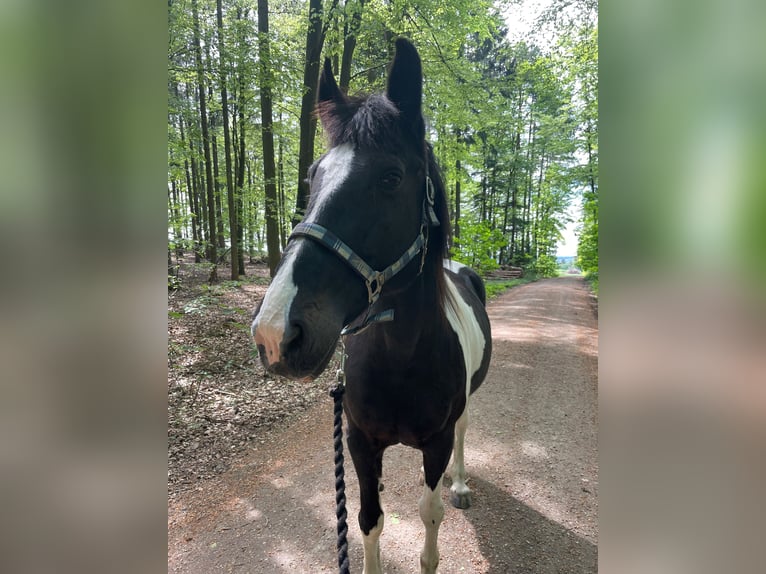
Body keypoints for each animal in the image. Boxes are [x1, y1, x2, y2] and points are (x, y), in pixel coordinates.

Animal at [252, 37, 492, 574]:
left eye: (390, 177)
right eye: (313, 176)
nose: (276, 332)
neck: (400, 358)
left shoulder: (436, 441)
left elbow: (429, 513)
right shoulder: (359, 441)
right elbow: (367, 519)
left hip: (466, 410)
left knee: (465, 436)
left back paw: (461, 484)